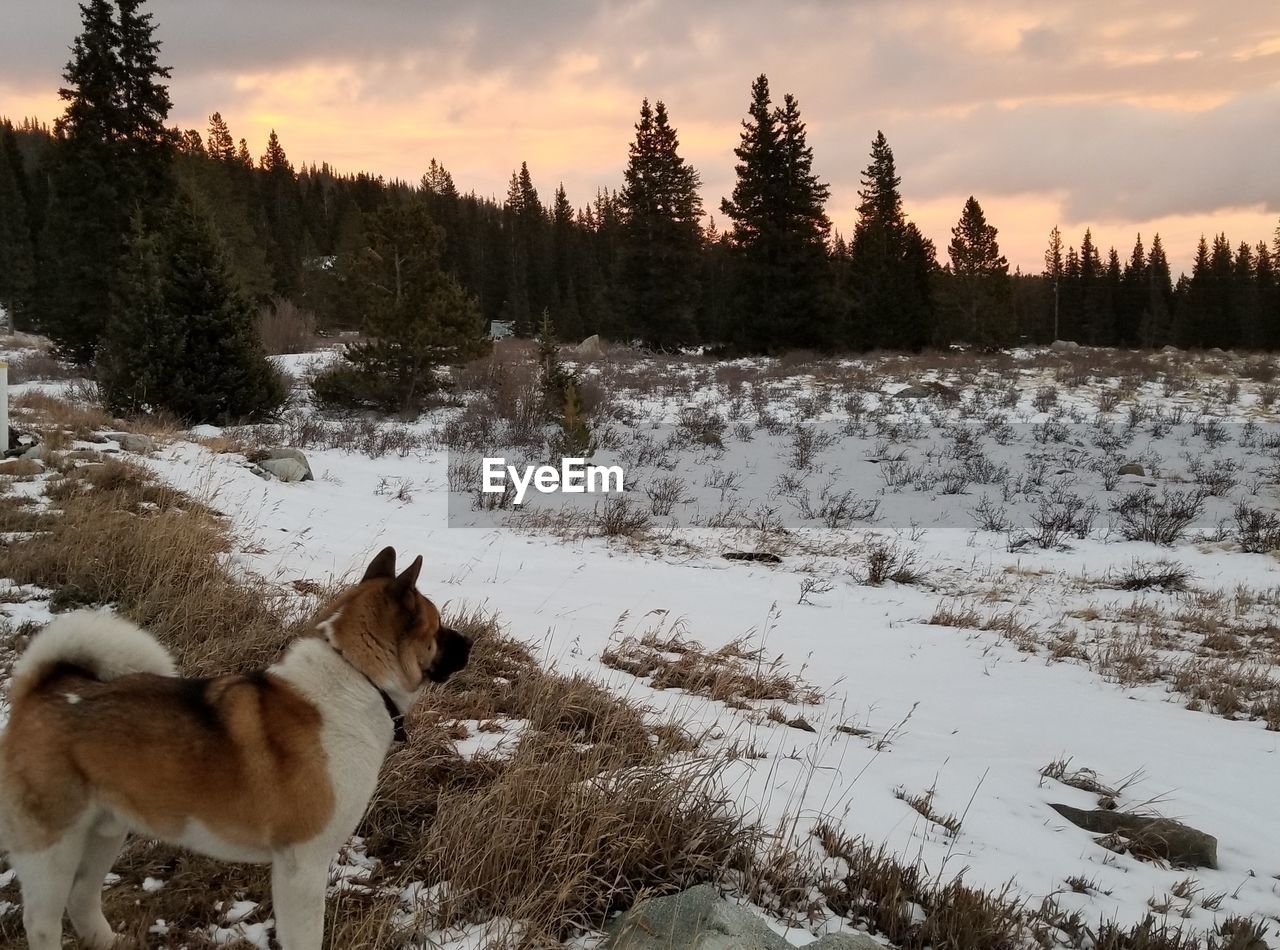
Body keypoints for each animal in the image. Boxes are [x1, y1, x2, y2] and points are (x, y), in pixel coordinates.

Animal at [0, 547, 471, 947]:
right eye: (437, 626)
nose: (470, 643)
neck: (358, 676)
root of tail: (41, 691)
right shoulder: (302, 866)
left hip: (106, 829)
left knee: (82, 897)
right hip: (52, 847)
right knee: (42, 921)